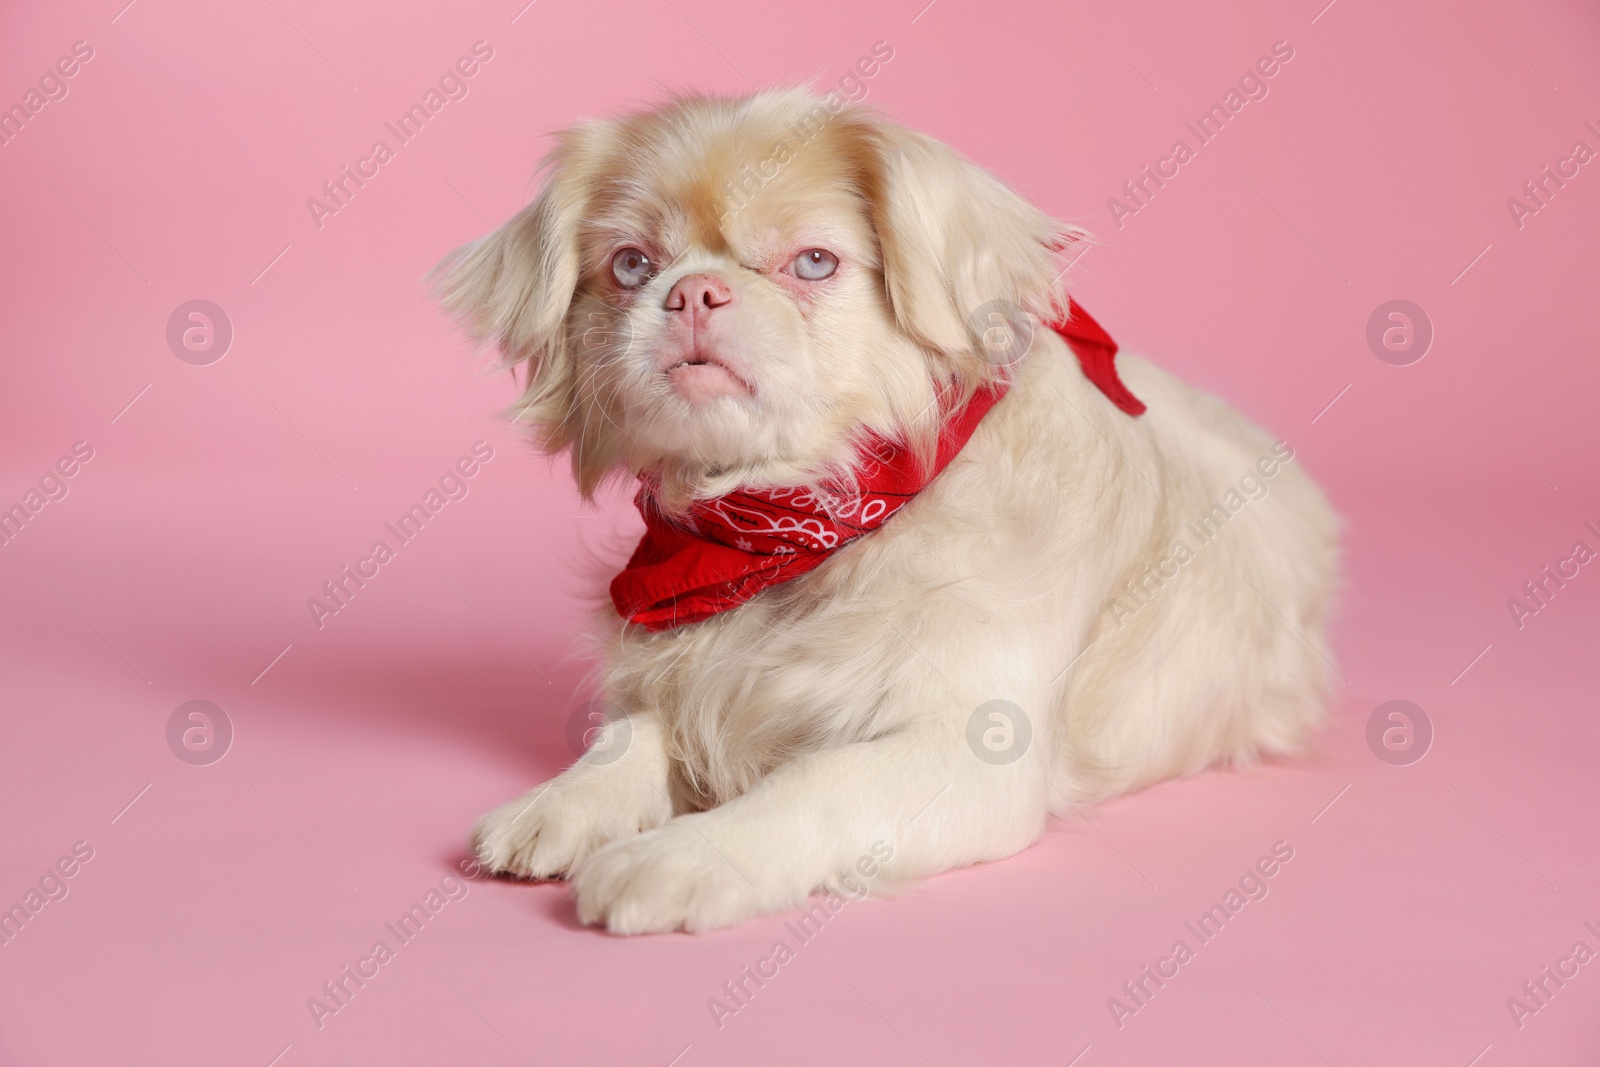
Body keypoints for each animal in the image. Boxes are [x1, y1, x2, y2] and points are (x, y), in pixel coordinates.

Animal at [428, 89, 1337, 934]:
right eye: (629, 265)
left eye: (814, 263)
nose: (692, 292)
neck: (780, 529)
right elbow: (631, 737)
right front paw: (558, 801)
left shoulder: (969, 754)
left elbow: (812, 783)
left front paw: (678, 858)